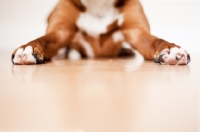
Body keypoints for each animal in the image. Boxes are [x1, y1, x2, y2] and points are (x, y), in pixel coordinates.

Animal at [11, 0, 191, 65]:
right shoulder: (60, 32)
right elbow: (42, 39)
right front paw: (28, 48)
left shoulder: (138, 33)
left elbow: (156, 41)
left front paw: (170, 49)